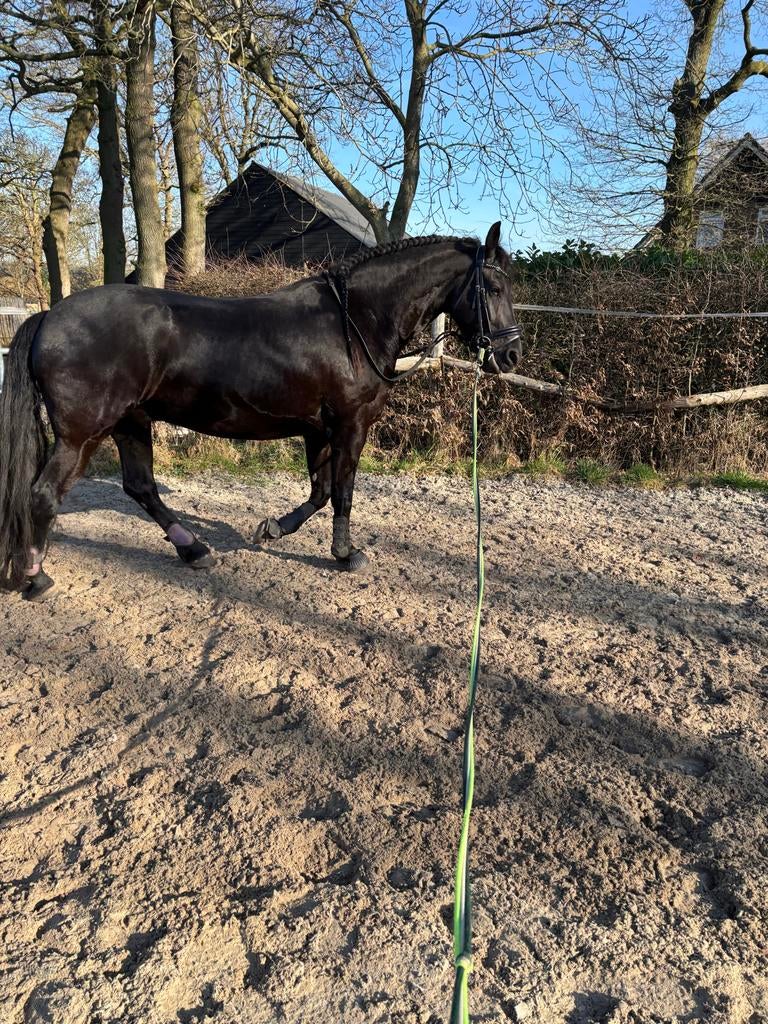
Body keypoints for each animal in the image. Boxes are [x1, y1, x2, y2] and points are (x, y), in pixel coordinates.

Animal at [0, 223, 523, 601]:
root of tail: (49, 317)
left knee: (140, 487)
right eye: (494, 287)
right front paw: (345, 553)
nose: (511, 355)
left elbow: (320, 491)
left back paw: (194, 550)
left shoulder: (317, 429)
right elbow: (343, 492)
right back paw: (35, 578)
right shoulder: (350, 424)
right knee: (44, 495)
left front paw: (273, 528)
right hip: (83, 433)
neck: (354, 323)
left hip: (131, 421)